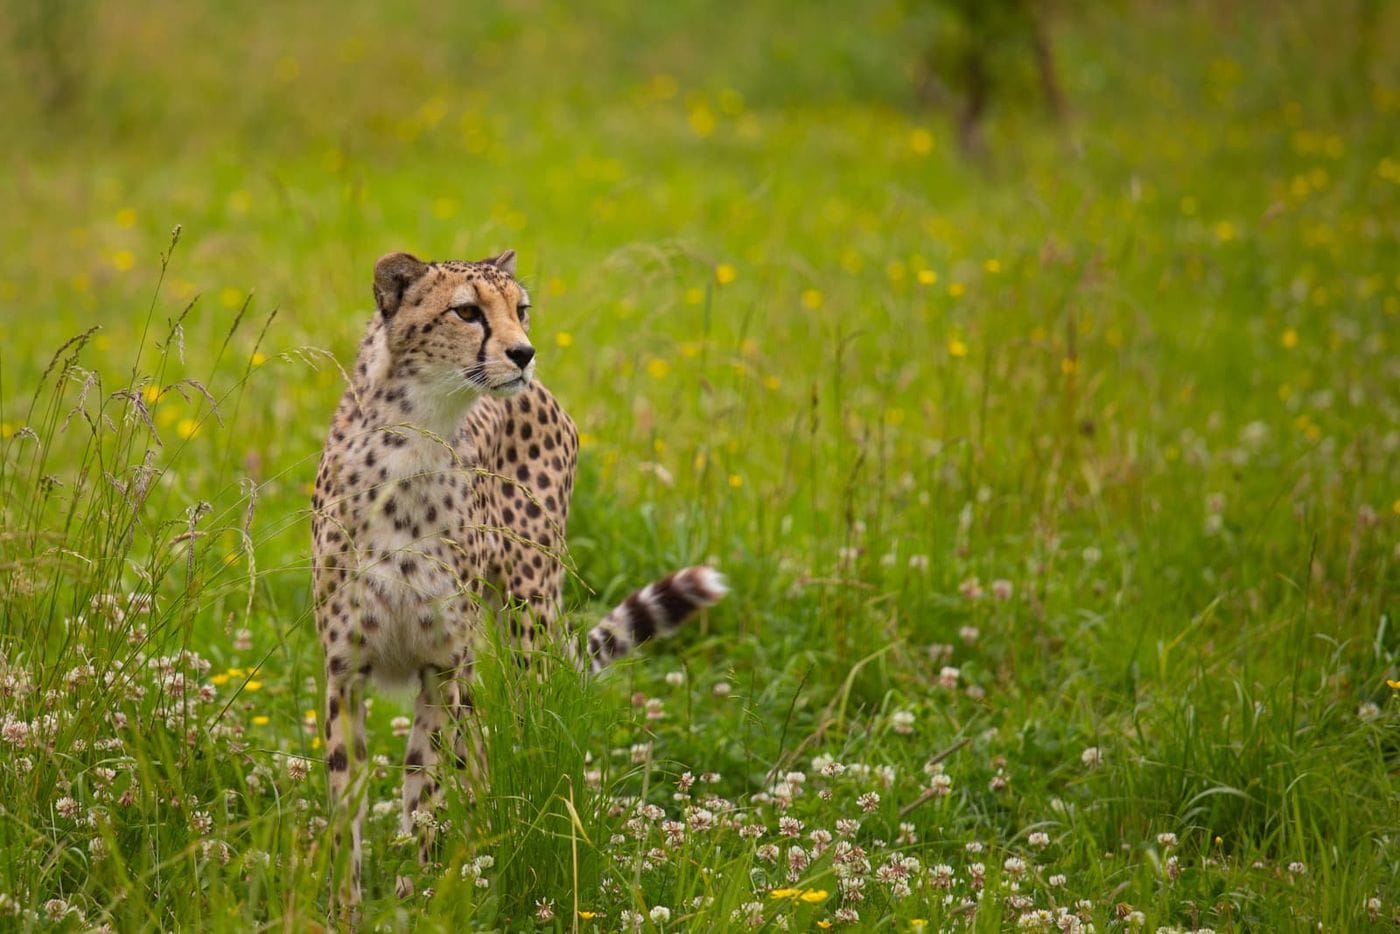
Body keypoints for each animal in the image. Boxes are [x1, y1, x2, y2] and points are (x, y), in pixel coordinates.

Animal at [310, 250, 727, 910]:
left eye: (520, 309)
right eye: (466, 312)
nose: (524, 353)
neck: (413, 440)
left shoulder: (443, 667)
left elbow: (429, 792)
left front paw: (429, 902)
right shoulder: (344, 671)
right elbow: (347, 804)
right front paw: (347, 909)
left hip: (526, 621)